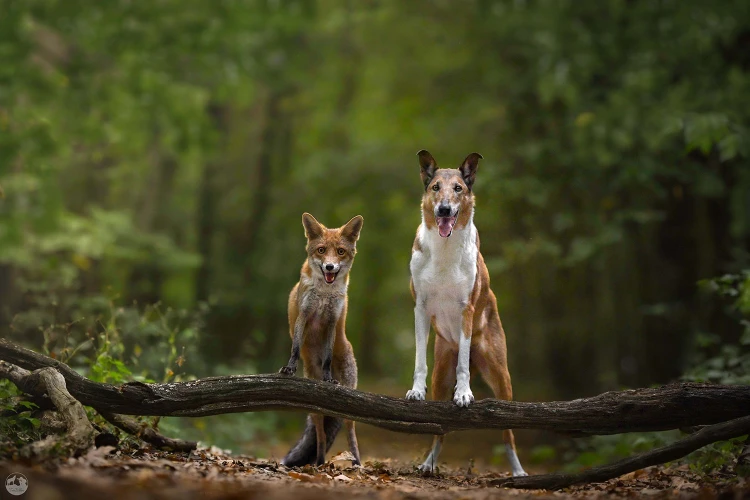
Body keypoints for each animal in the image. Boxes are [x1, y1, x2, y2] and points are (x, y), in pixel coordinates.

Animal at [280, 213, 366, 466]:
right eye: (321, 250)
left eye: (340, 252)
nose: (329, 266)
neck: (325, 293)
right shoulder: (304, 315)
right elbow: (295, 348)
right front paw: (289, 368)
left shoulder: (331, 323)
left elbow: (327, 357)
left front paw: (328, 379)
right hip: (315, 410)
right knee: (319, 435)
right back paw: (318, 463)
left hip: (349, 409)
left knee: (350, 433)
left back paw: (357, 463)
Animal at [406, 149, 528, 476]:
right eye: (436, 187)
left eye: (458, 188)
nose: (445, 209)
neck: (445, 249)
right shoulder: (420, 308)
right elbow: (419, 359)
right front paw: (415, 391)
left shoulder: (466, 311)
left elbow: (463, 364)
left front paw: (464, 393)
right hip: (441, 375)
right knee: (439, 429)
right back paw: (429, 462)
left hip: (501, 377)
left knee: (508, 434)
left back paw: (518, 471)